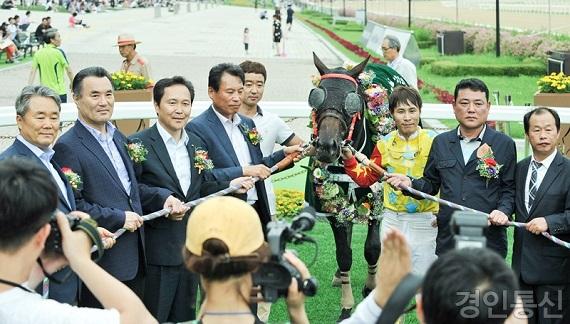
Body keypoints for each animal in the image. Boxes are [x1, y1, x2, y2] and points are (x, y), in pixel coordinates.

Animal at [304, 53, 406, 322]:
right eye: (316, 96)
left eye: (352, 101)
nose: (327, 146)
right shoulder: (332, 206)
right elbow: (344, 253)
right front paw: (346, 306)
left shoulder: (377, 197)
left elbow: (372, 248)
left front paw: (370, 287)